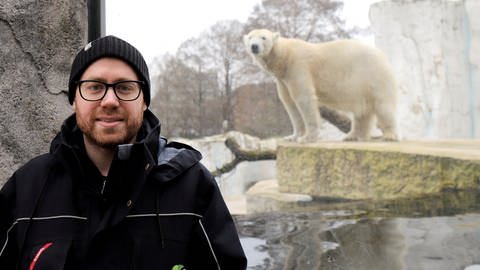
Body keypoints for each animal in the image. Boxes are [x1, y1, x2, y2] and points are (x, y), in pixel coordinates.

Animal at [244, 29, 398, 142]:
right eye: (250, 37)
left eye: (263, 37)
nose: (254, 46)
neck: (284, 57)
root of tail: (383, 56)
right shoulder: (283, 79)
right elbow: (289, 102)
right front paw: (292, 137)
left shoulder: (298, 66)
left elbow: (303, 98)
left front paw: (307, 138)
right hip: (362, 86)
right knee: (362, 111)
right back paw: (352, 136)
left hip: (373, 75)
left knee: (383, 105)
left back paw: (389, 136)